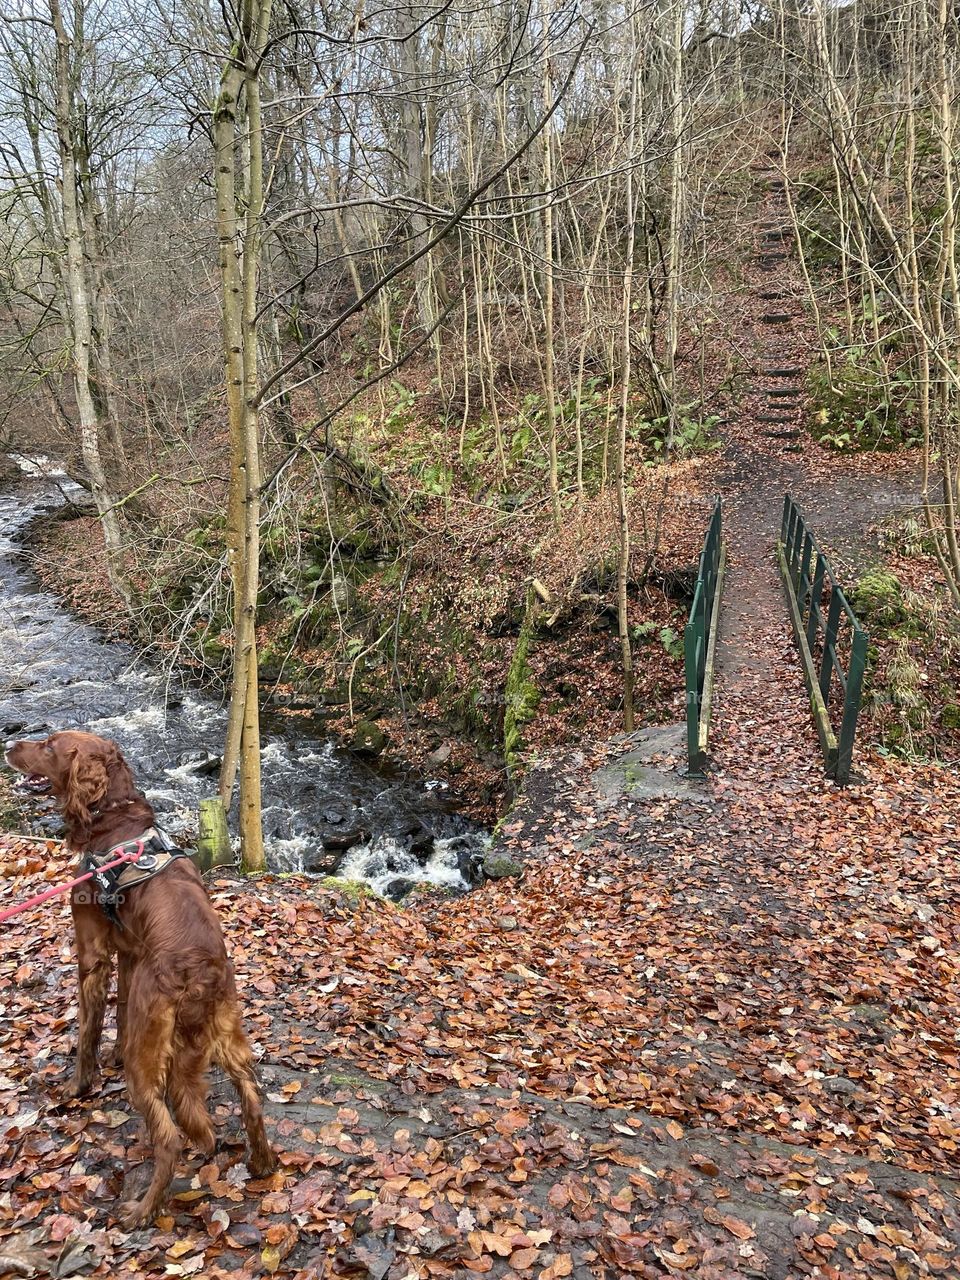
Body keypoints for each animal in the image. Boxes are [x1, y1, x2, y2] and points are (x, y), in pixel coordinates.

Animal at [6, 737, 277, 1223]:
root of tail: (199, 974)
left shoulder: (93, 952)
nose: (10, 747)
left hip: (150, 1059)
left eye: (49, 746)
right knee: (249, 1093)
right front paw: (111, 1053)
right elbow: (121, 1008)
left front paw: (77, 1086)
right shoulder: (131, 952)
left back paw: (143, 1210)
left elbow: (88, 1029)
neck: (114, 816)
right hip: (226, 1031)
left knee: (169, 1136)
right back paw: (262, 1163)